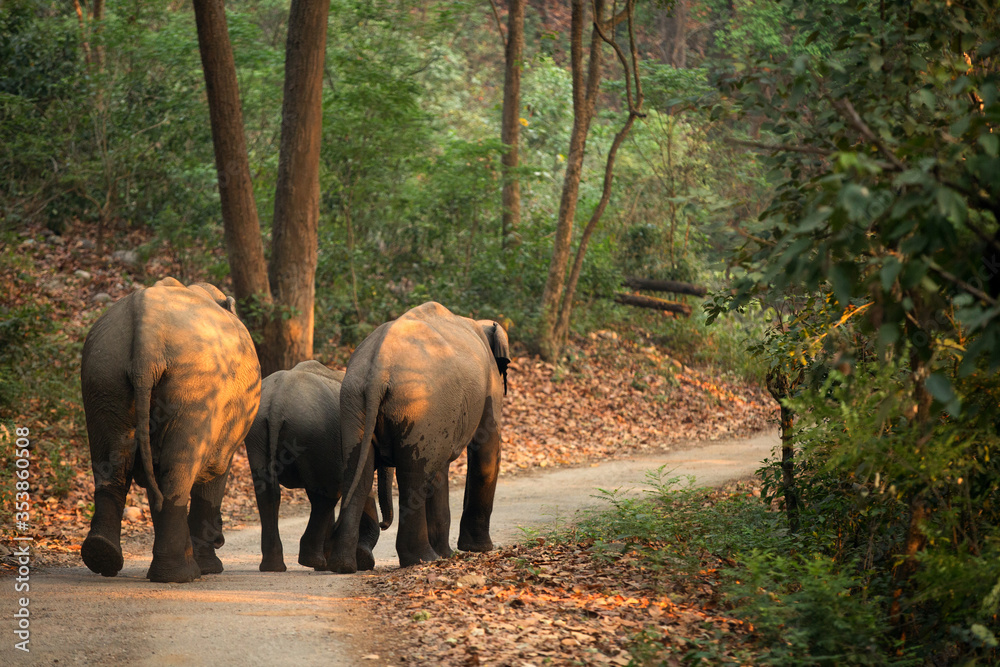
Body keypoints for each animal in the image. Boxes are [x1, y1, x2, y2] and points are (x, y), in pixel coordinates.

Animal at [80, 277, 261, 583]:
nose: (221, 539)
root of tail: (147, 336)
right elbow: (215, 471)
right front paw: (210, 569)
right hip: (195, 384)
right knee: (178, 470)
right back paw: (182, 575)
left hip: (103, 373)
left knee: (114, 463)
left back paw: (103, 556)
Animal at [244, 360, 385, 572]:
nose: (385, 524)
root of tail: (276, 404)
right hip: (315, 434)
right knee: (327, 494)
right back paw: (314, 562)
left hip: (258, 432)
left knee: (268, 493)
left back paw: (274, 567)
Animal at [328, 301, 509, 573]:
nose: (382, 525)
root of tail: (379, 368)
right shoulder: (488, 385)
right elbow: (486, 446)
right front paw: (478, 549)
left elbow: (440, 470)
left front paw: (448, 553)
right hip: (418, 404)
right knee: (413, 475)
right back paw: (423, 559)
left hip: (354, 403)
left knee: (358, 473)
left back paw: (344, 565)